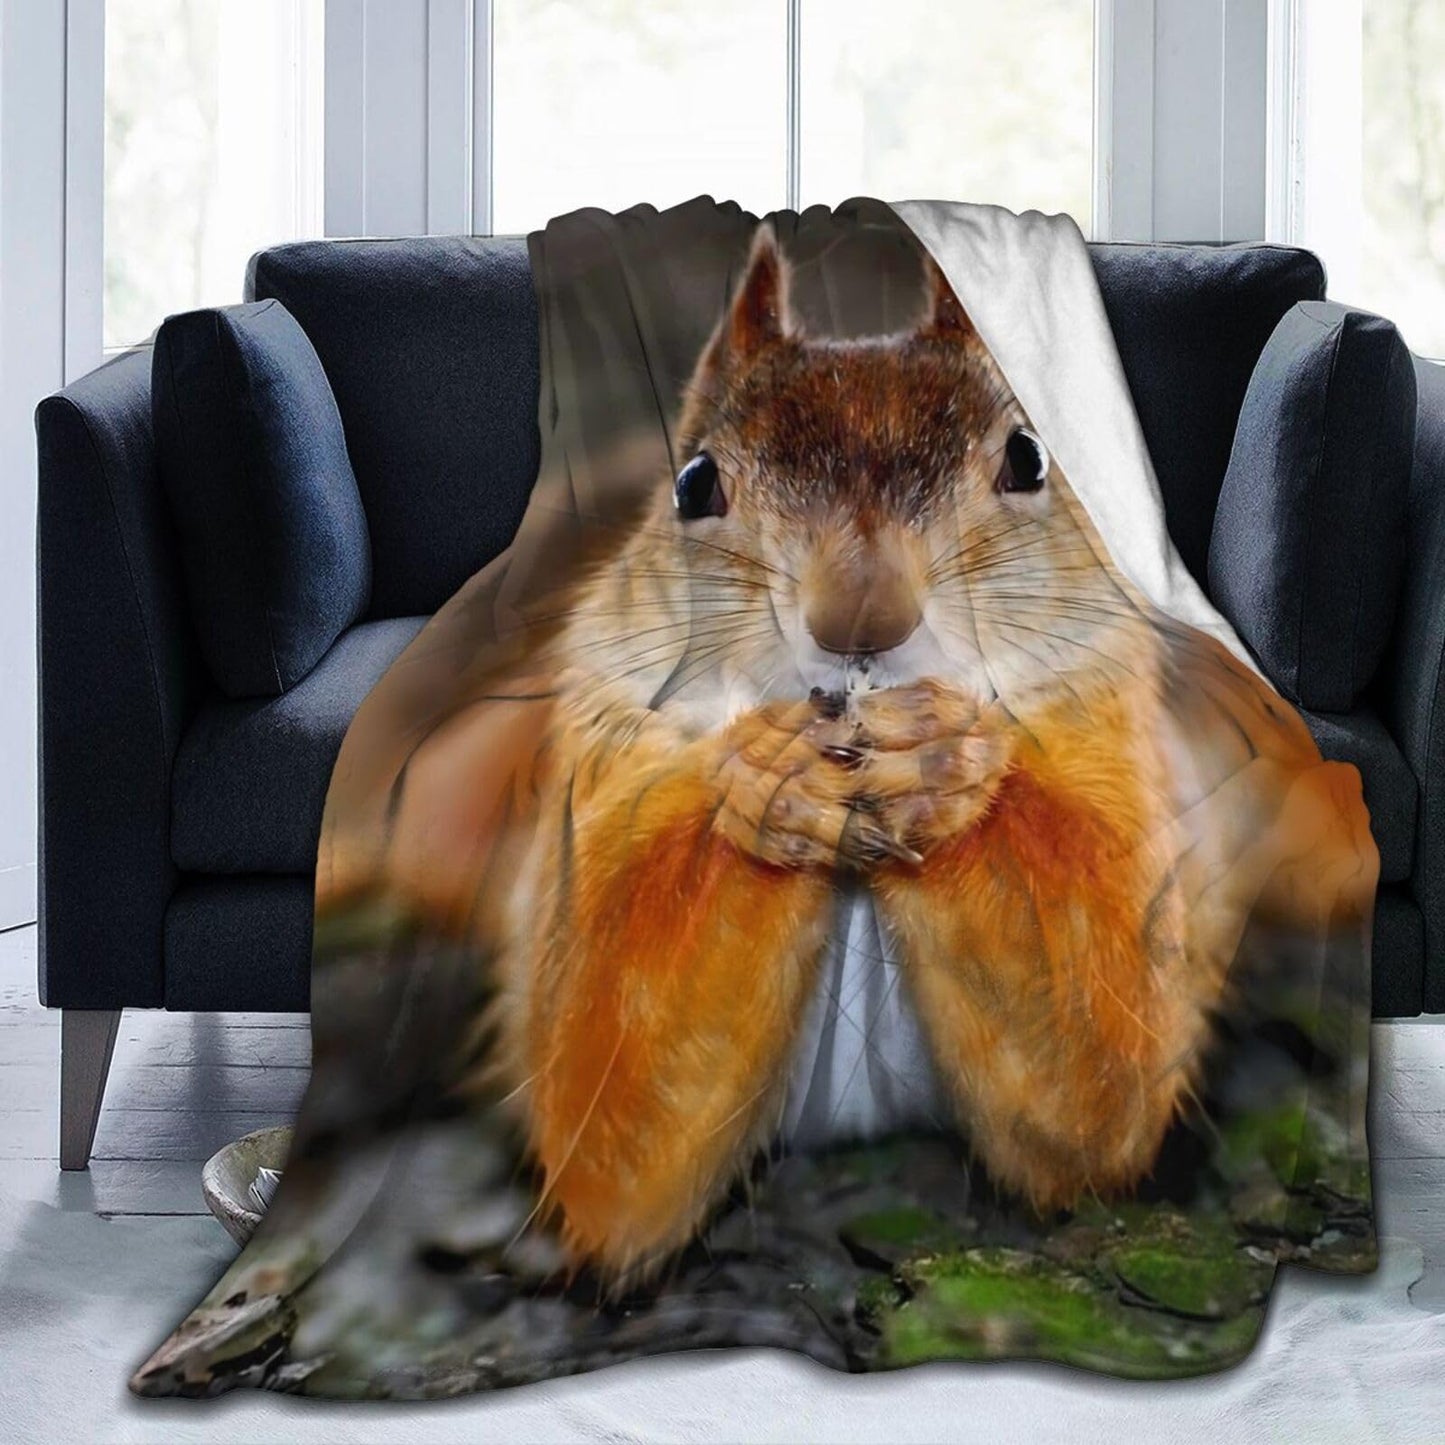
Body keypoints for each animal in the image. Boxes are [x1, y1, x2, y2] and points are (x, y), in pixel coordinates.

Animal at [342, 224, 1377, 1283]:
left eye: (1028, 458)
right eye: (693, 482)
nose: (860, 615)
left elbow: (1102, 1082)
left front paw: (939, 760)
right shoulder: (603, 761)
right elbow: (607, 1127)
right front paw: (770, 783)